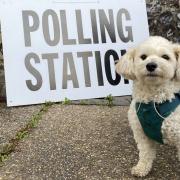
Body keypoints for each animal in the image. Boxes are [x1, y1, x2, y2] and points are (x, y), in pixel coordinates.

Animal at [115, 36, 180, 177]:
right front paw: (141, 169)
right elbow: (145, 154)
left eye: (165, 57)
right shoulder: (142, 133)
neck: (153, 101)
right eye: (143, 57)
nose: (150, 65)